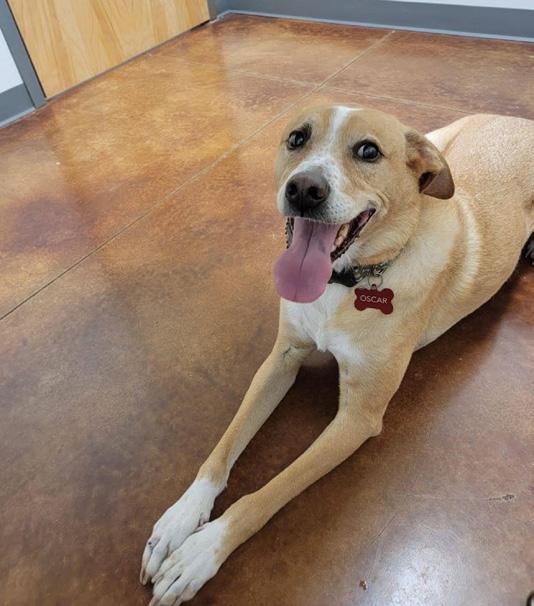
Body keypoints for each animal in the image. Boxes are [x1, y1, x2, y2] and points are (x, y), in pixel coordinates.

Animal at [140, 106, 534, 605]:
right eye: (296, 138)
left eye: (368, 150)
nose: (304, 189)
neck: (346, 281)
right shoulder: (281, 359)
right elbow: (224, 446)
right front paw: (181, 516)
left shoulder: (356, 419)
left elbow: (269, 493)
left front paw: (202, 551)